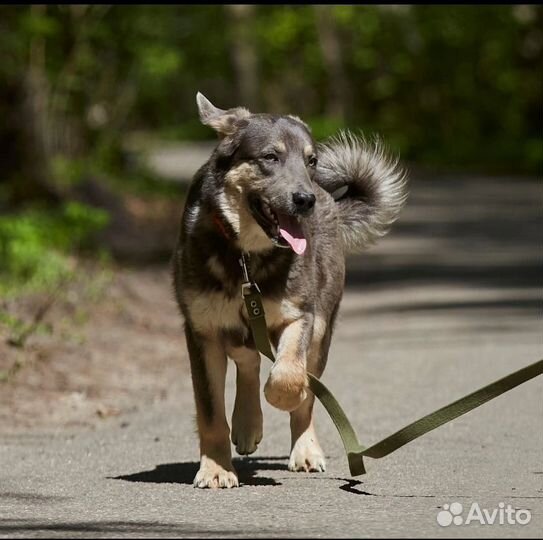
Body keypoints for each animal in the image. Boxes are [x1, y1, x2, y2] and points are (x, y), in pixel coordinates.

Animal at [172, 93, 406, 490]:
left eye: (312, 160)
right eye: (270, 157)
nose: (305, 199)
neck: (246, 257)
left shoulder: (300, 316)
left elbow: (288, 376)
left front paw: (281, 396)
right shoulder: (202, 333)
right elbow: (211, 413)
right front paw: (216, 469)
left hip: (322, 331)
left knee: (306, 397)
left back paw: (305, 449)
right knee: (248, 360)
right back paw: (248, 424)